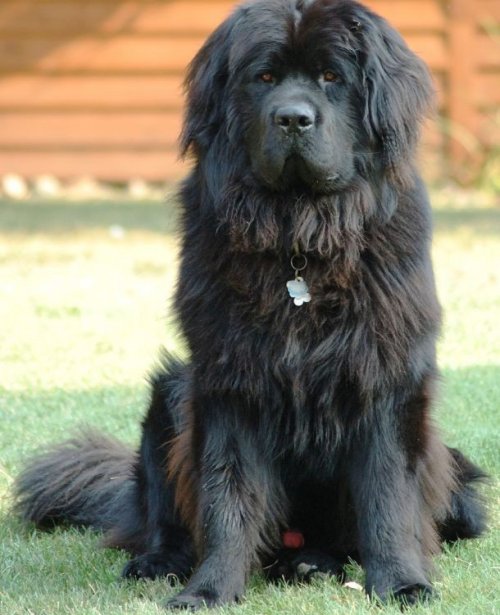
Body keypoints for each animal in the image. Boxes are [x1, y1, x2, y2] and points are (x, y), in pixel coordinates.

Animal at [15, 0, 486, 609]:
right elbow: (227, 496)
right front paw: (209, 590)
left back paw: (311, 562)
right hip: (169, 396)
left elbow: (389, 494)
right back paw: (161, 561)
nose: (292, 119)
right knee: (161, 511)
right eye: (263, 78)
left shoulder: (385, 379)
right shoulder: (230, 381)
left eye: (331, 77)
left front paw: (403, 583)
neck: (299, 242)